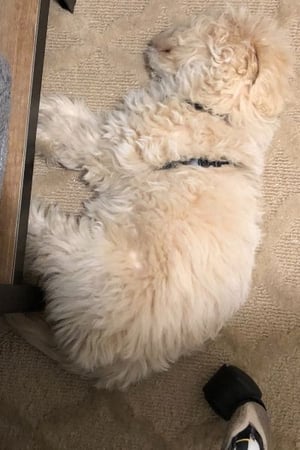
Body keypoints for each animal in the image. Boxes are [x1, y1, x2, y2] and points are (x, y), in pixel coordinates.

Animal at [10, 7, 292, 388]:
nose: (152, 41)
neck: (221, 111)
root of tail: (120, 366)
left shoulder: (114, 145)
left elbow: (73, 130)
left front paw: (42, 112)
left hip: (81, 254)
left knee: (45, 239)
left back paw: (25, 216)